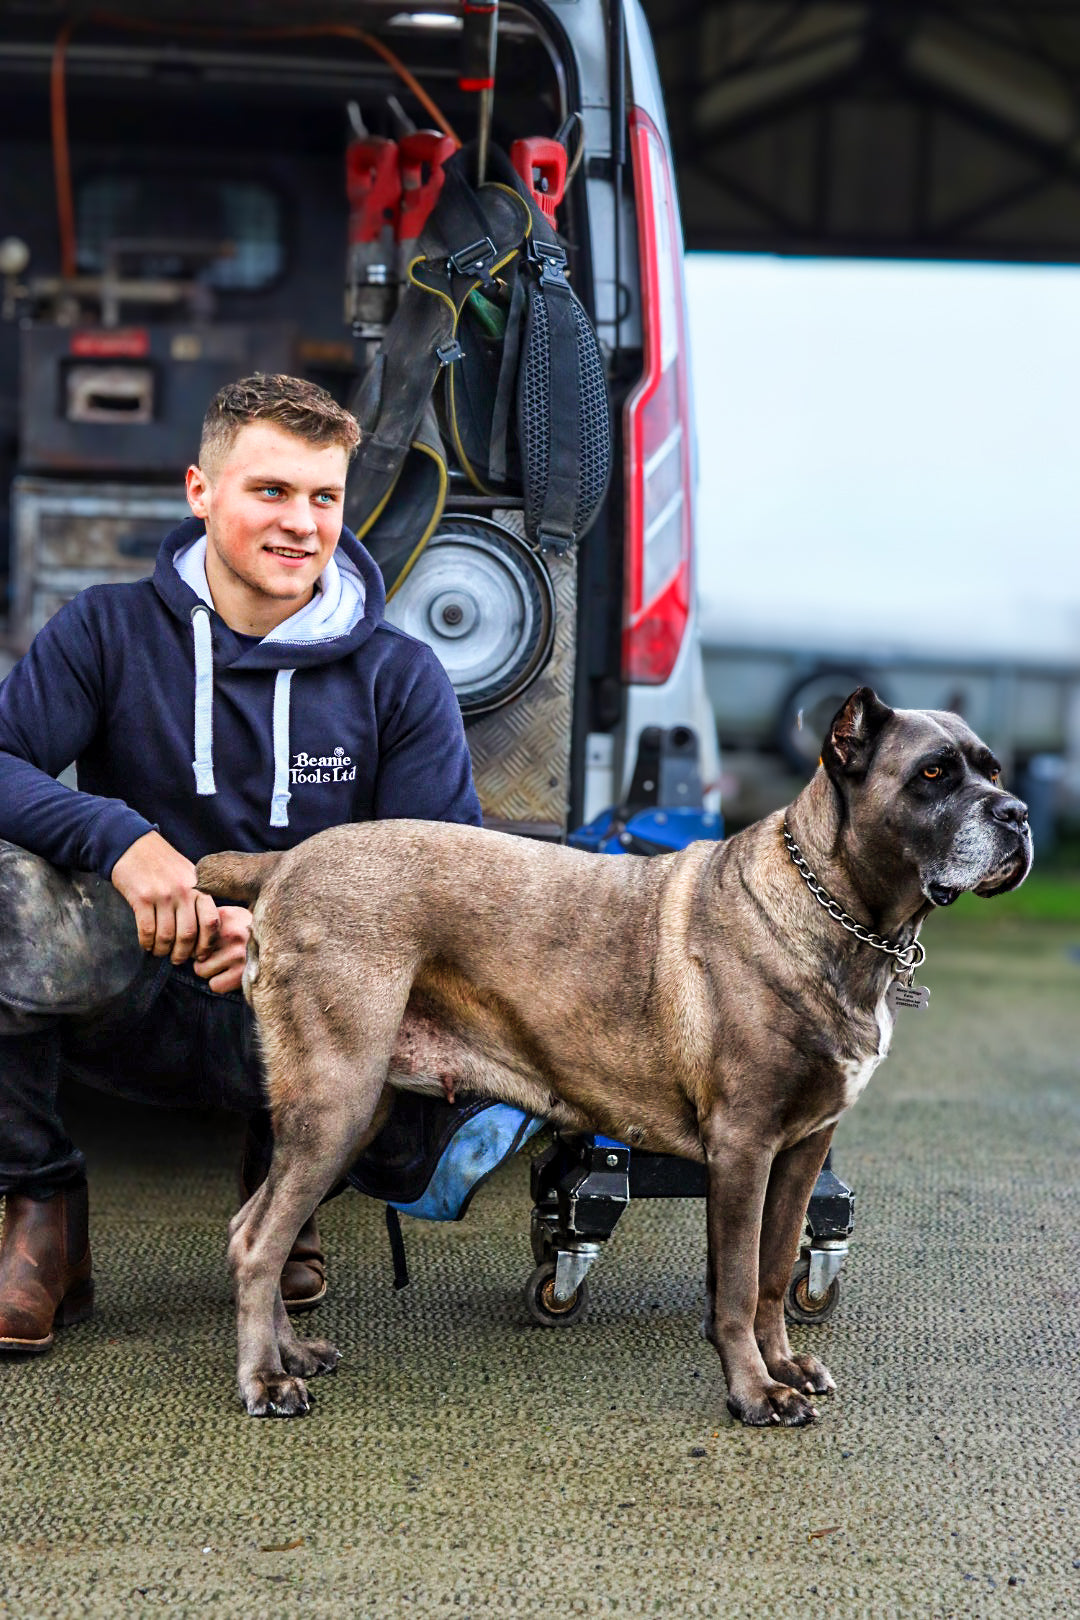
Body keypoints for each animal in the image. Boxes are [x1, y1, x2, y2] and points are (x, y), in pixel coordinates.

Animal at [198, 690, 1036, 1425]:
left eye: (992, 770)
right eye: (933, 773)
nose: (1019, 815)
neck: (836, 912)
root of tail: (281, 862)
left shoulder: (802, 1150)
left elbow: (771, 1274)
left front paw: (783, 1365)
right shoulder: (744, 1147)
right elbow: (737, 1285)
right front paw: (753, 1392)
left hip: (353, 1110)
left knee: (253, 1226)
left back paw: (291, 1354)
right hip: (335, 1102)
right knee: (259, 1239)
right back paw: (265, 1380)